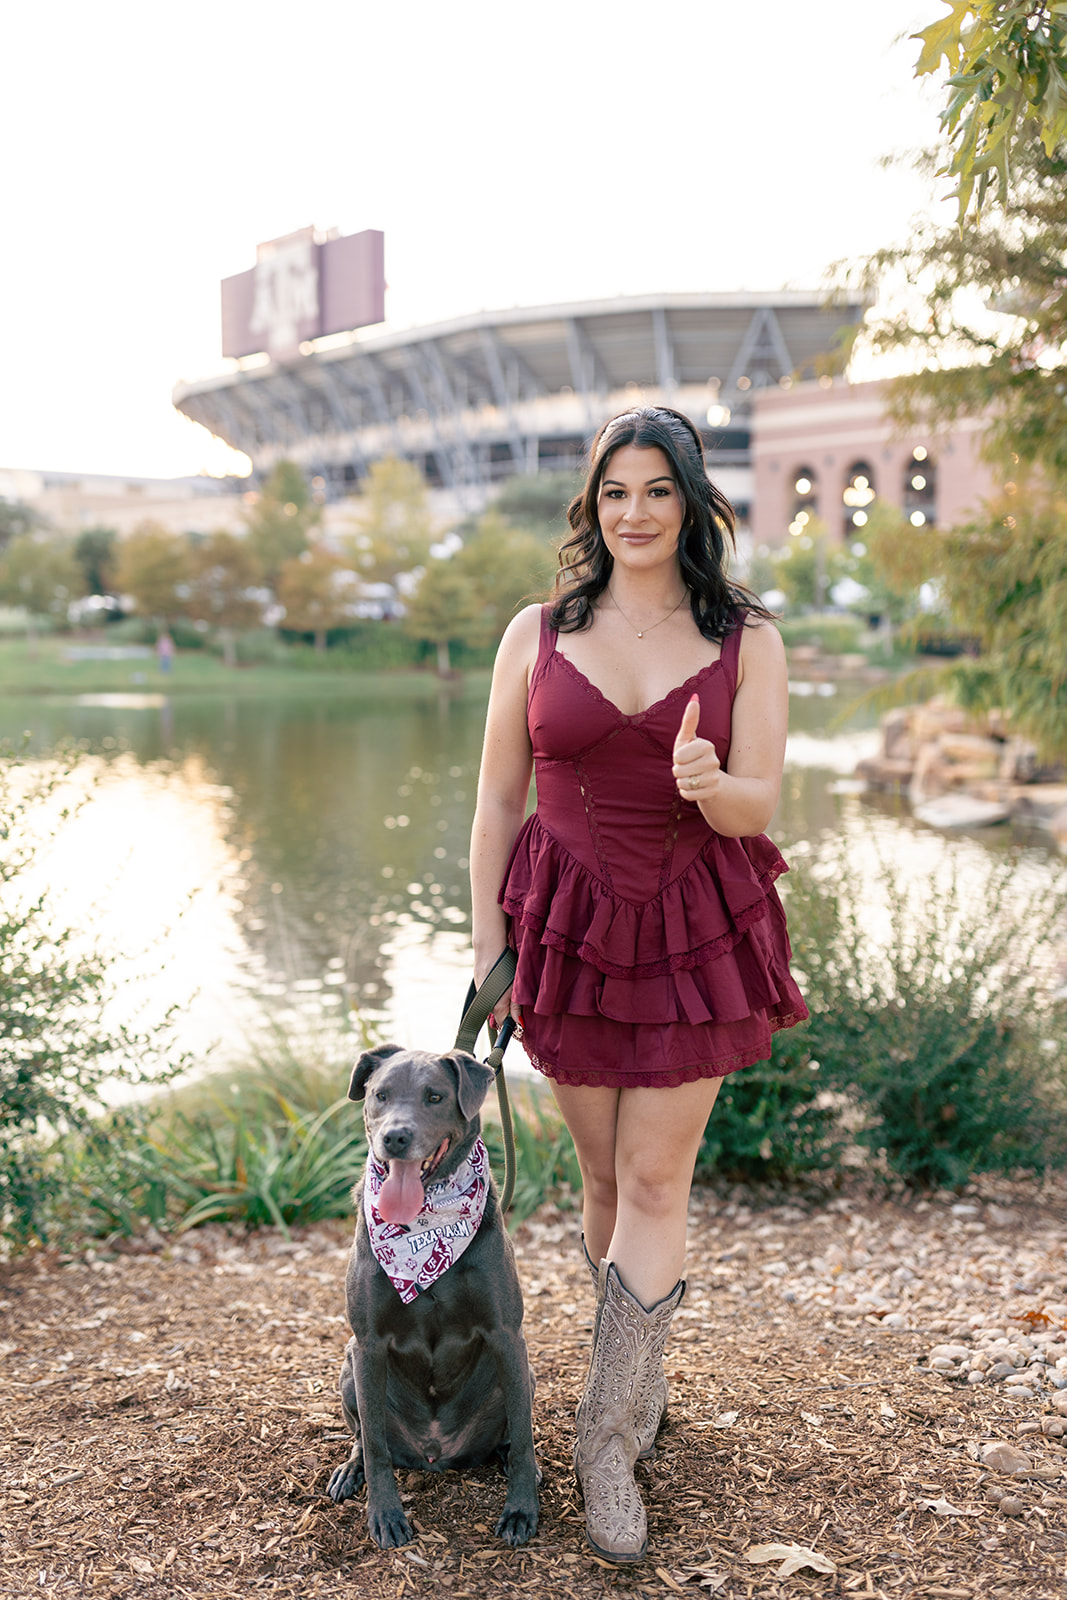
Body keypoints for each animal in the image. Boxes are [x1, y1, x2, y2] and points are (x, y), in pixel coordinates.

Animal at [326, 1043, 537, 1542]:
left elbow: (523, 1437)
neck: (425, 1225)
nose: (395, 1138)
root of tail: (435, 1453)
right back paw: (350, 1471)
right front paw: (385, 1515)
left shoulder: (507, 1335)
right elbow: (376, 1447)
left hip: (526, 1373)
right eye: (380, 1095)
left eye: (435, 1097)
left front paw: (521, 1510)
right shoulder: (367, 1344)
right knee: (364, 1438)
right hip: (348, 1369)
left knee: (512, 1434)